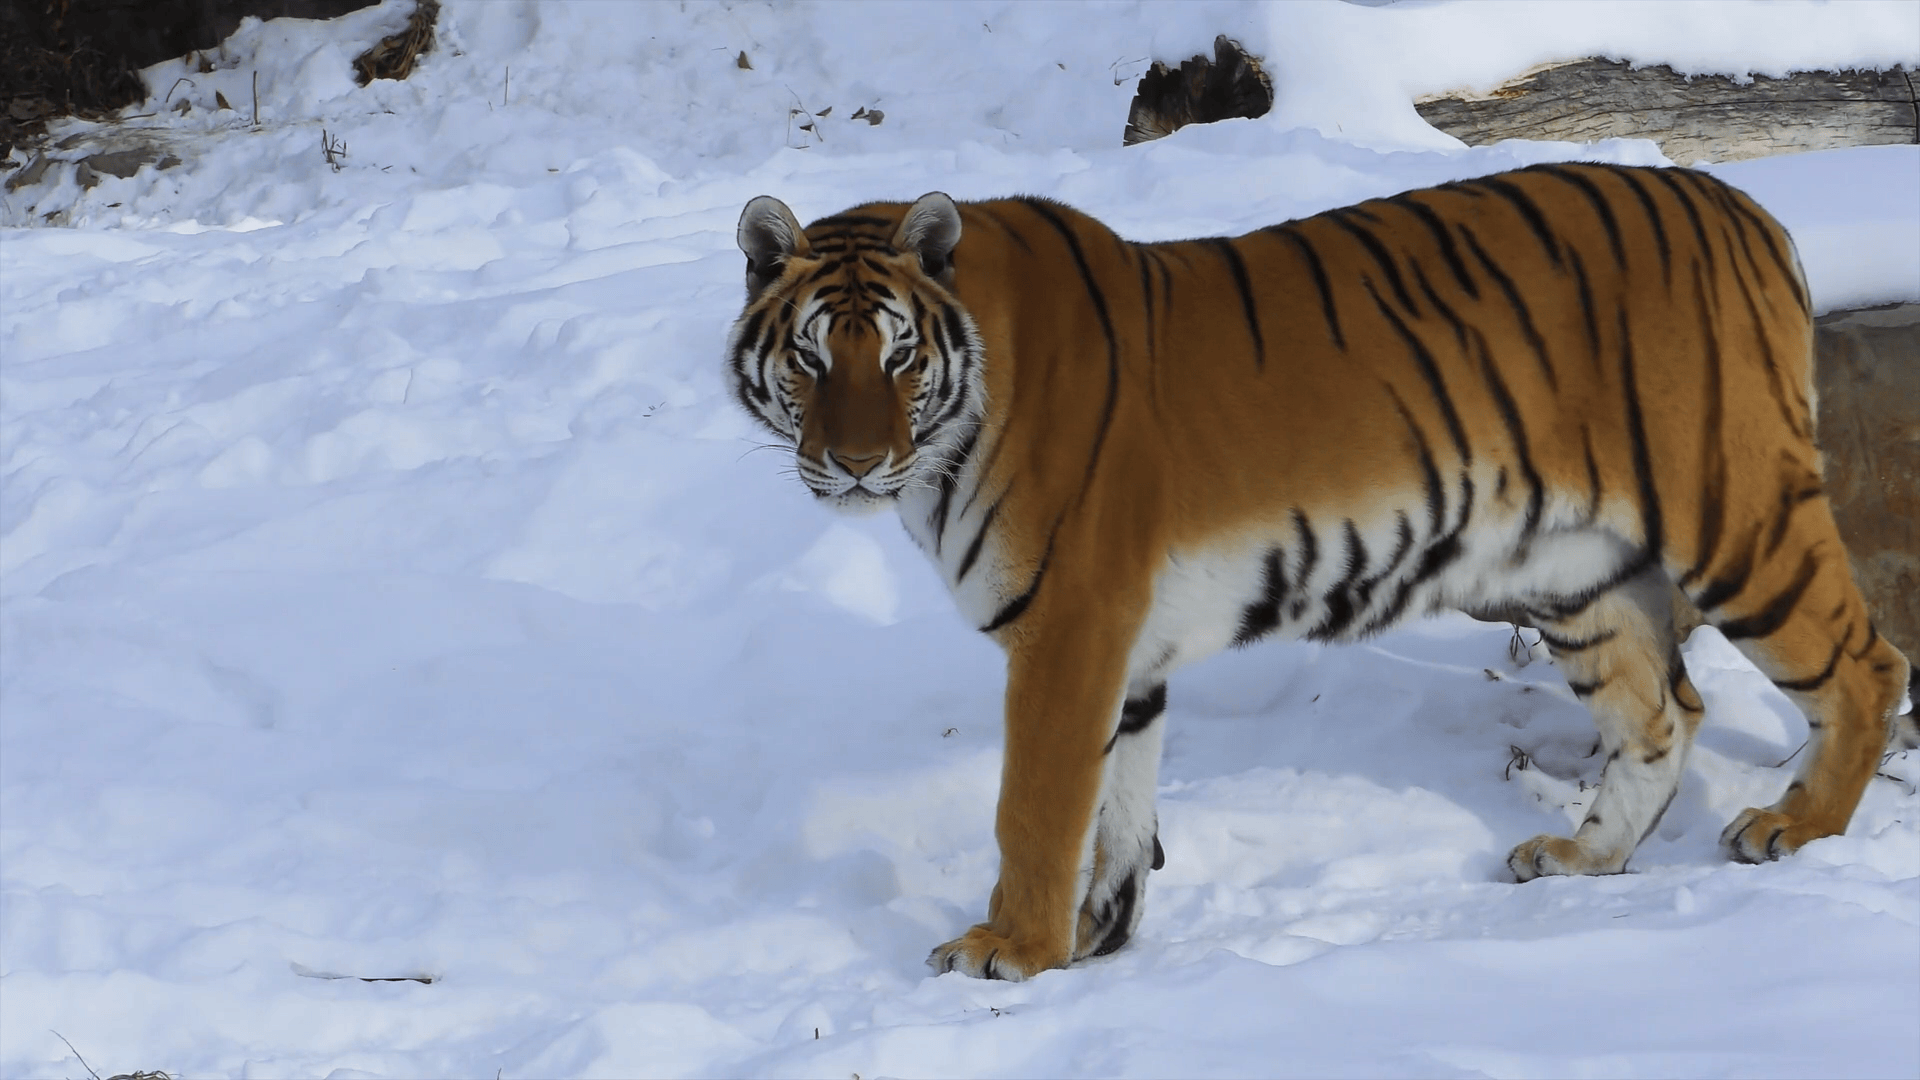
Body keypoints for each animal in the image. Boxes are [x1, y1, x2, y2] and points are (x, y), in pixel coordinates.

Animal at [721, 164, 1920, 980]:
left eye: (899, 357)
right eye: (812, 357)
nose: (855, 463)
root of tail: (1746, 208)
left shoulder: (1068, 628)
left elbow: (1036, 805)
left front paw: (1008, 948)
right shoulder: (1124, 651)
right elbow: (1116, 807)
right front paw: (1097, 939)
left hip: (1735, 517)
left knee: (1865, 664)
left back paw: (1793, 829)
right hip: (1575, 571)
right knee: (1665, 711)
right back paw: (1582, 859)